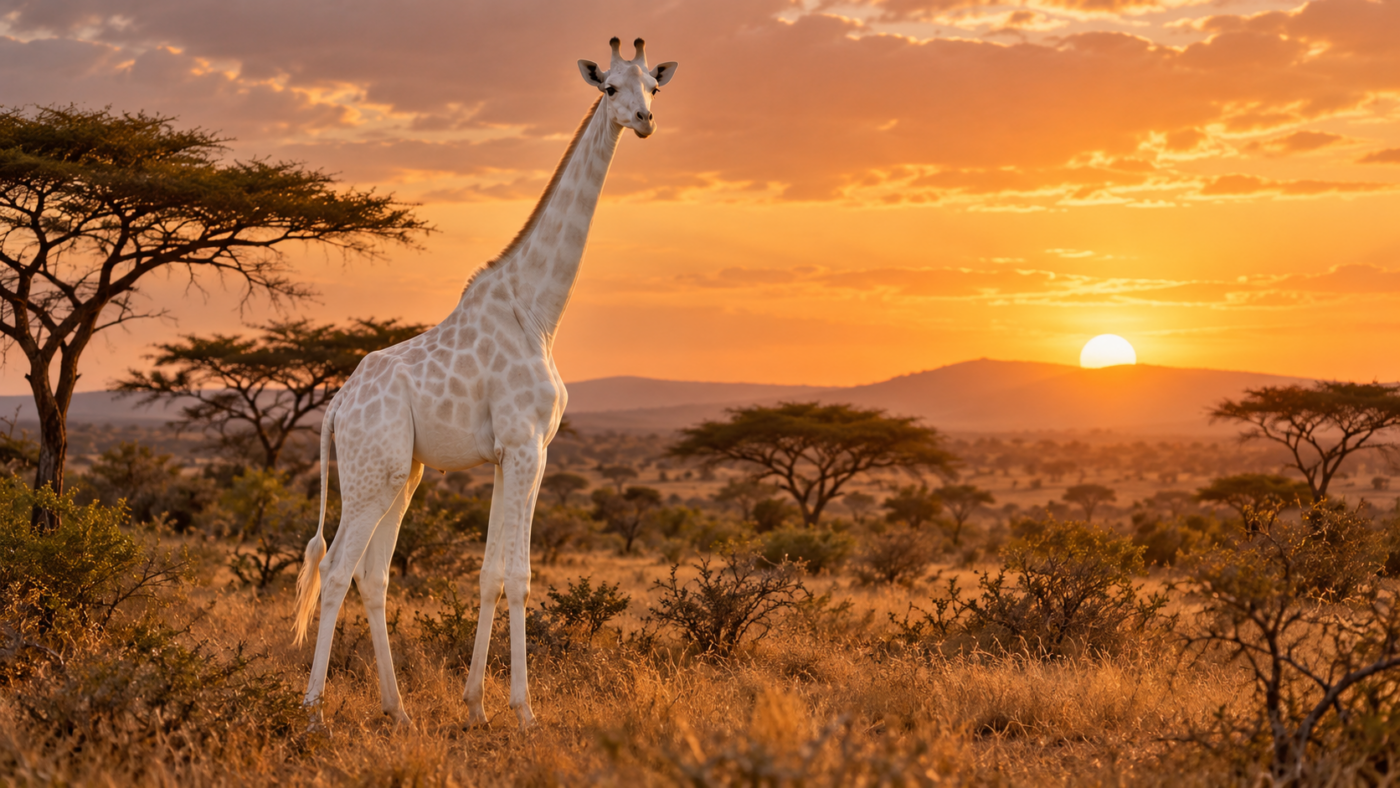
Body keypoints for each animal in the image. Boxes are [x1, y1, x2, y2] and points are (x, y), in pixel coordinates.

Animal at [291, 37, 678, 730]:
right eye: (609, 87)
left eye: (654, 88)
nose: (643, 121)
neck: (539, 310)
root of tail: (336, 406)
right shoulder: (528, 447)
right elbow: (519, 577)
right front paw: (524, 711)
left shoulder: (507, 454)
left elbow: (489, 574)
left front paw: (475, 705)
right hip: (370, 474)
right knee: (335, 570)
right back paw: (314, 713)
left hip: (402, 474)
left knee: (372, 576)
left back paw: (399, 710)